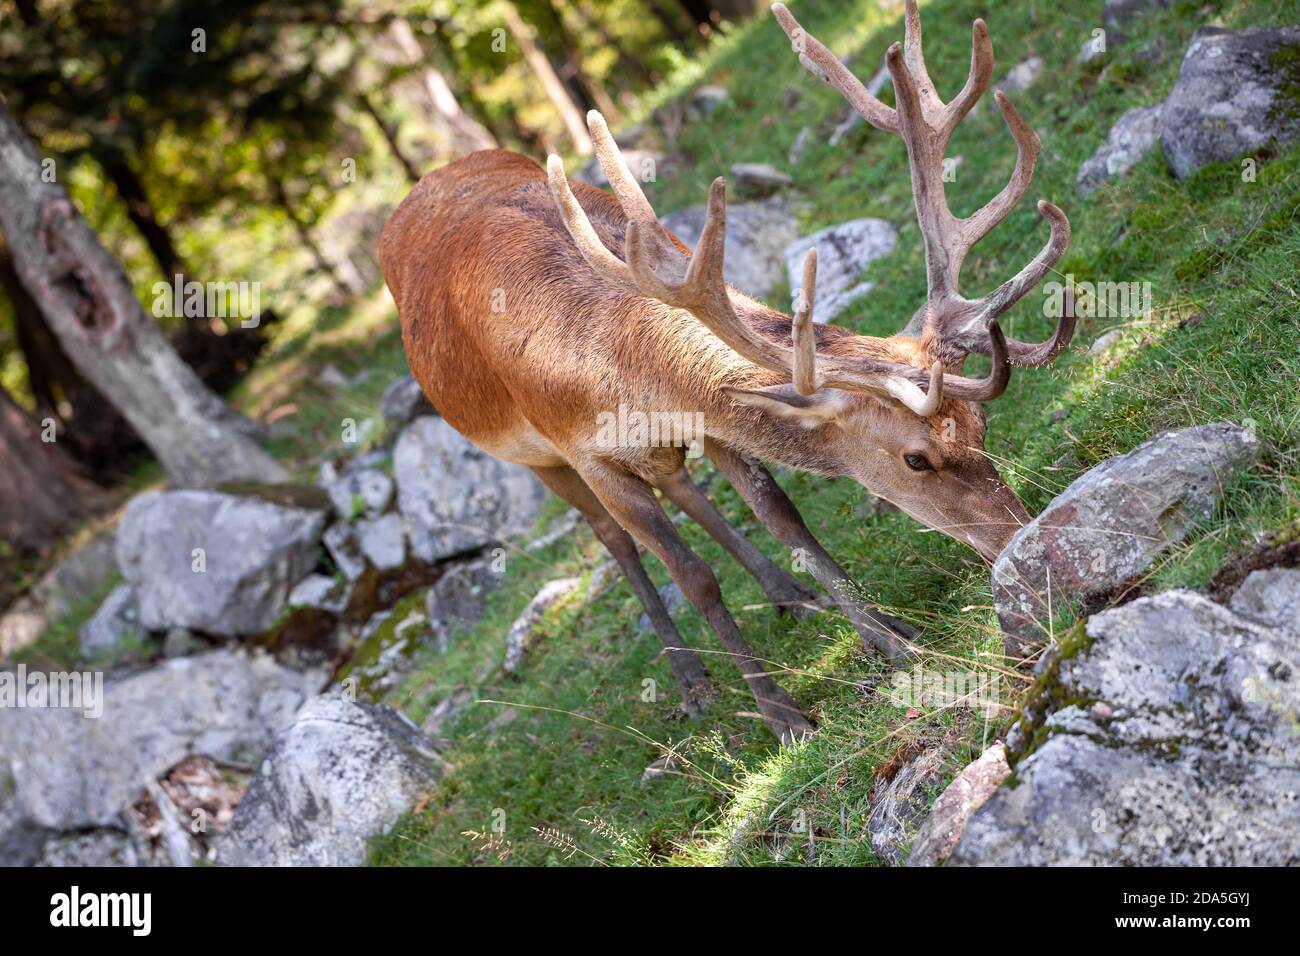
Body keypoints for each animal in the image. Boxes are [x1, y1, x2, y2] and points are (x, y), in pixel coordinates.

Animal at [378, 0, 1075, 745]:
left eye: (981, 424)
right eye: (917, 458)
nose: (1018, 535)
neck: (616, 374)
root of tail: (412, 196)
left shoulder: (711, 417)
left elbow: (784, 516)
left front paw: (890, 637)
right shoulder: (584, 451)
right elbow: (692, 576)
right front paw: (783, 717)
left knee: (685, 488)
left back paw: (789, 595)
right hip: (532, 458)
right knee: (614, 542)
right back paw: (691, 679)